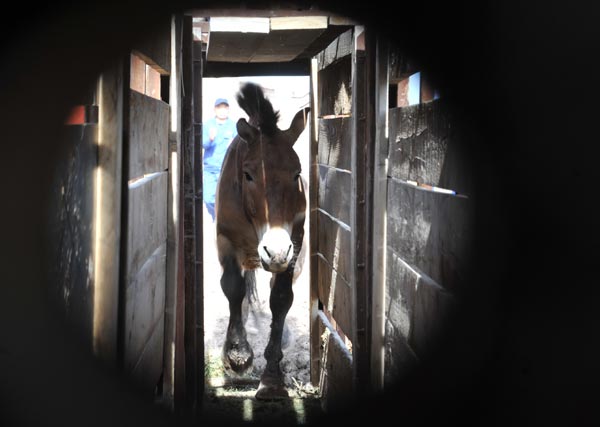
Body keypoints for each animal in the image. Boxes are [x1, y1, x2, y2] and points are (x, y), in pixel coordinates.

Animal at [214, 83, 310, 402]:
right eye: (248, 174)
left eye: (297, 173)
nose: (275, 251)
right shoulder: (226, 240)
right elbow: (233, 288)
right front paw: (237, 355)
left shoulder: (295, 243)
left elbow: (280, 298)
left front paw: (271, 377)